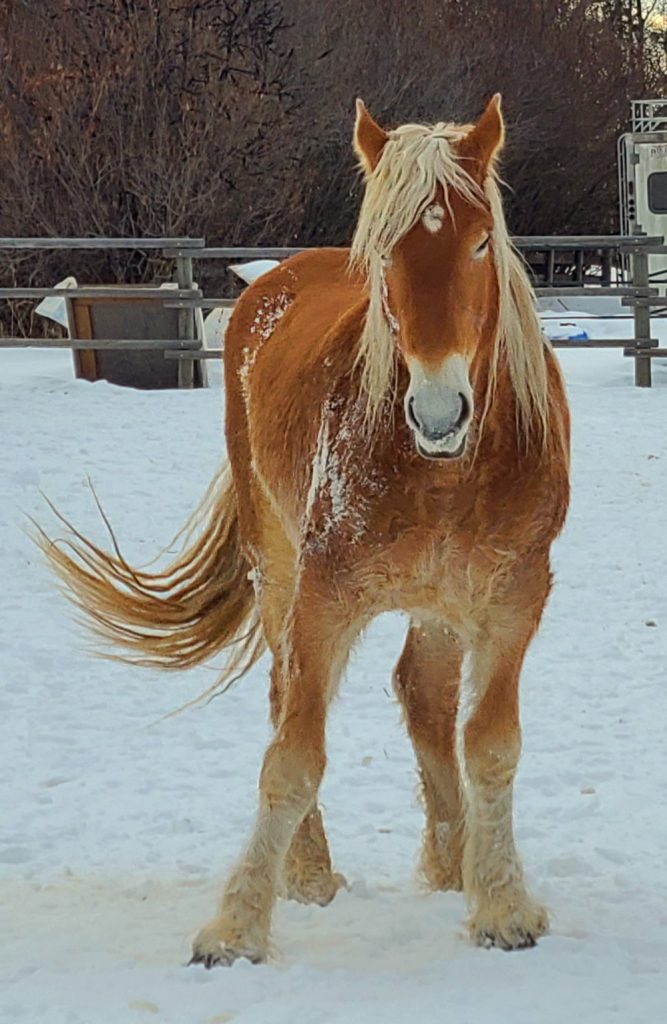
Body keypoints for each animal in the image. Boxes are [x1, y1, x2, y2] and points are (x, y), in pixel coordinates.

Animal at [40, 96, 569, 966]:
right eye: (384, 250)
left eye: (480, 240)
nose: (438, 411)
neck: (444, 469)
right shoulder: (324, 596)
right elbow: (292, 756)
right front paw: (235, 927)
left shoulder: (513, 597)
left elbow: (491, 745)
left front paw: (500, 904)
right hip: (278, 567)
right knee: (288, 694)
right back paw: (311, 875)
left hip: (437, 599)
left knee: (424, 698)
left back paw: (450, 861)